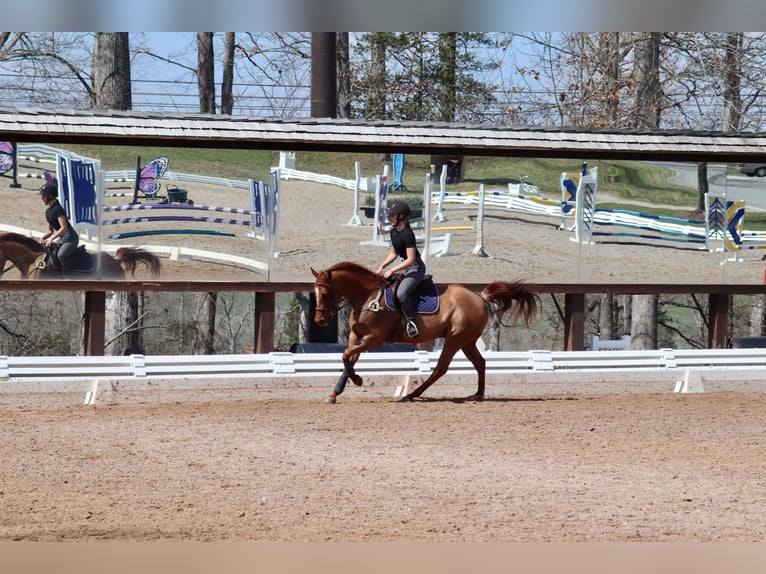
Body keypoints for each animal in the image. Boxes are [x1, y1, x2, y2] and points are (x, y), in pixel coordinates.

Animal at [312, 262, 540, 402]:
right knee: (480, 363)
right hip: (467, 341)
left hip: (455, 339)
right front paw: (335, 393)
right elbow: (348, 359)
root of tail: (480, 297)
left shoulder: (374, 339)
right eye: (314, 292)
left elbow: (346, 355)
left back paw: (411, 395)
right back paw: (477, 395)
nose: (320, 321)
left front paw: (357, 380)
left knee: (441, 368)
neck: (366, 297)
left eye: (325, 292)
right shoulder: (357, 336)